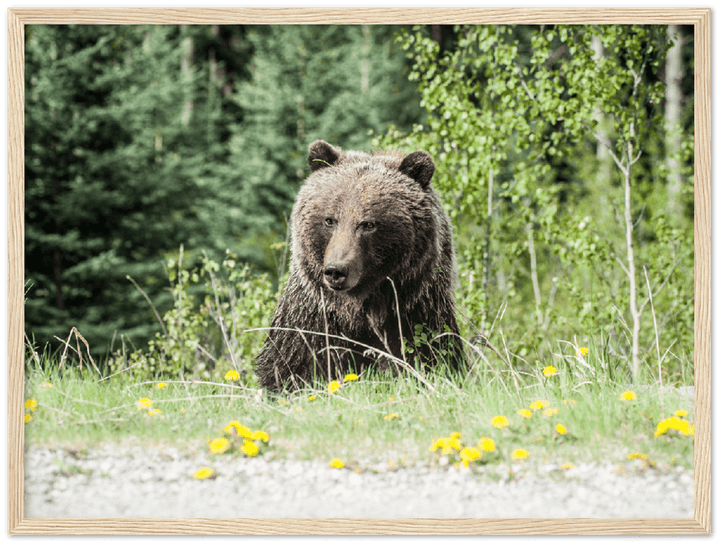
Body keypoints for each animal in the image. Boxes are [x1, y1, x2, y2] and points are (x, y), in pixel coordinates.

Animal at [254, 140, 463, 391]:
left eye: (368, 224)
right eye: (329, 220)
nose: (336, 270)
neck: (358, 310)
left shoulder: (415, 314)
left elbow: (427, 357)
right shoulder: (312, 319)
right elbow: (292, 366)